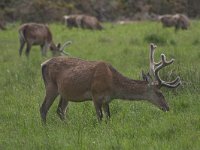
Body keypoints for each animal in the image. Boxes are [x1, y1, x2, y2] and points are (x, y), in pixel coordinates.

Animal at [39, 43, 180, 123]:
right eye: (160, 93)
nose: (167, 107)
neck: (113, 85)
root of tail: (43, 64)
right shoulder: (95, 95)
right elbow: (100, 117)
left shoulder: (106, 100)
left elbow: (108, 117)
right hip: (51, 87)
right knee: (43, 108)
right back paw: (45, 129)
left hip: (65, 93)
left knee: (60, 110)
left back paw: (66, 125)